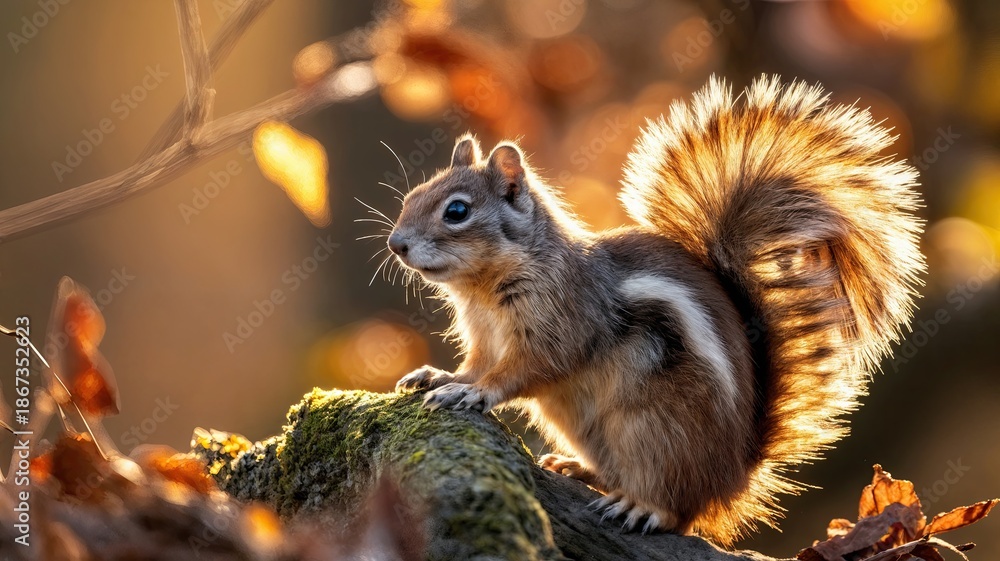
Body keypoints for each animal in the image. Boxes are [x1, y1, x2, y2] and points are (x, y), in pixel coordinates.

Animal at [384, 75, 925, 545]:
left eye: (457, 211)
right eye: (413, 195)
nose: (396, 244)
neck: (482, 291)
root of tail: (734, 476)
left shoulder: (564, 319)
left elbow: (526, 368)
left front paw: (475, 393)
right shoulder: (482, 338)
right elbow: (473, 365)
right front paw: (440, 376)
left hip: (653, 429)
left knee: (678, 508)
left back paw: (644, 507)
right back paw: (579, 468)